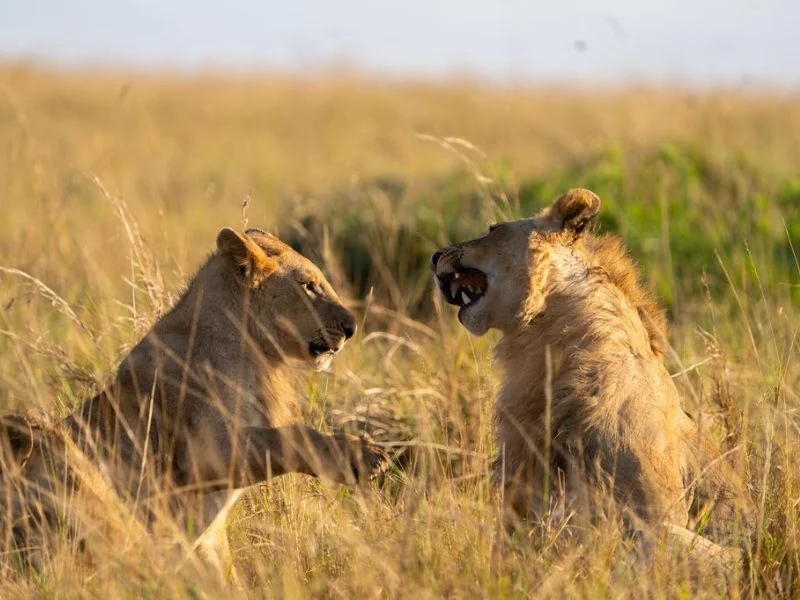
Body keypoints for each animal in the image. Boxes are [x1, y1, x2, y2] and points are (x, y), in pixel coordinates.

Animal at [0, 227, 387, 575]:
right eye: (309, 285)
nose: (352, 328)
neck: (257, 354)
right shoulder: (204, 451)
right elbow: (289, 437)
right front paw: (361, 455)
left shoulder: (210, 539)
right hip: (43, 440)